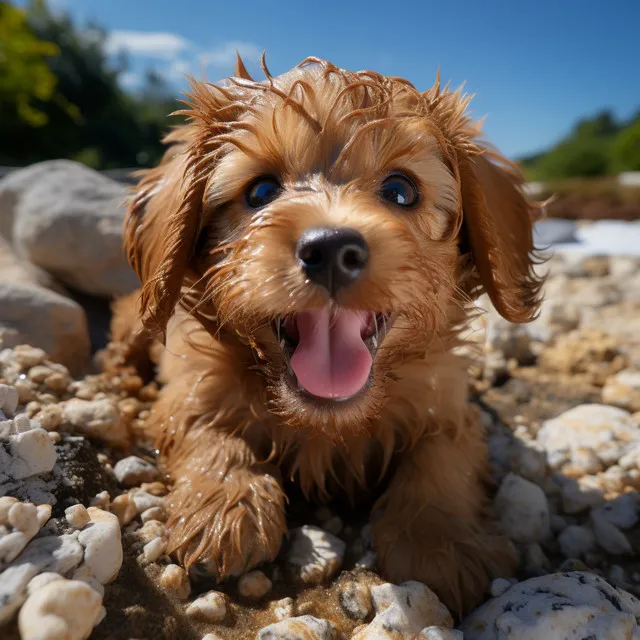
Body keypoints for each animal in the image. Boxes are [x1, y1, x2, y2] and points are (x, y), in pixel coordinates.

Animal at [111, 56, 544, 616]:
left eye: (401, 190)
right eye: (261, 192)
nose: (332, 249)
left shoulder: (450, 405)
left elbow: (443, 459)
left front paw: (441, 538)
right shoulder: (190, 384)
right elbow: (206, 430)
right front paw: (225, 505)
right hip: (134, 320)